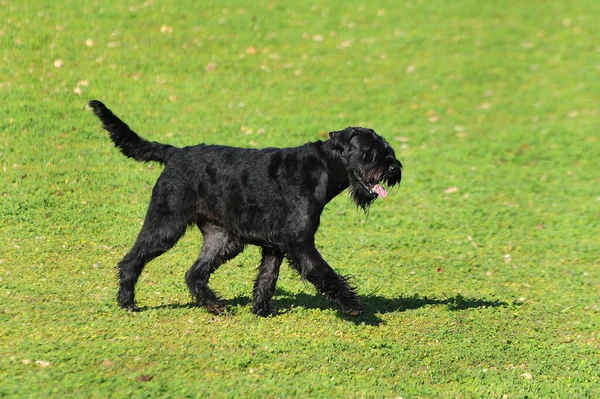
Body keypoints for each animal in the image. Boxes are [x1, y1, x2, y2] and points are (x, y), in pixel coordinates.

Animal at [88, 101, 404, 318]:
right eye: (369, 152)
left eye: (387, 149)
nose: (393, 168)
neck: (323, 169)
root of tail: (174, 154)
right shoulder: (300, 243)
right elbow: (325, 273)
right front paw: (351, 305)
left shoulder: (275, 245)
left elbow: (267, 278)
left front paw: (262, 310)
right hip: (166, 226)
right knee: (133, 259)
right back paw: (127, 302)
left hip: (223, 240)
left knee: (195, 273)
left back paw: (214, 304)